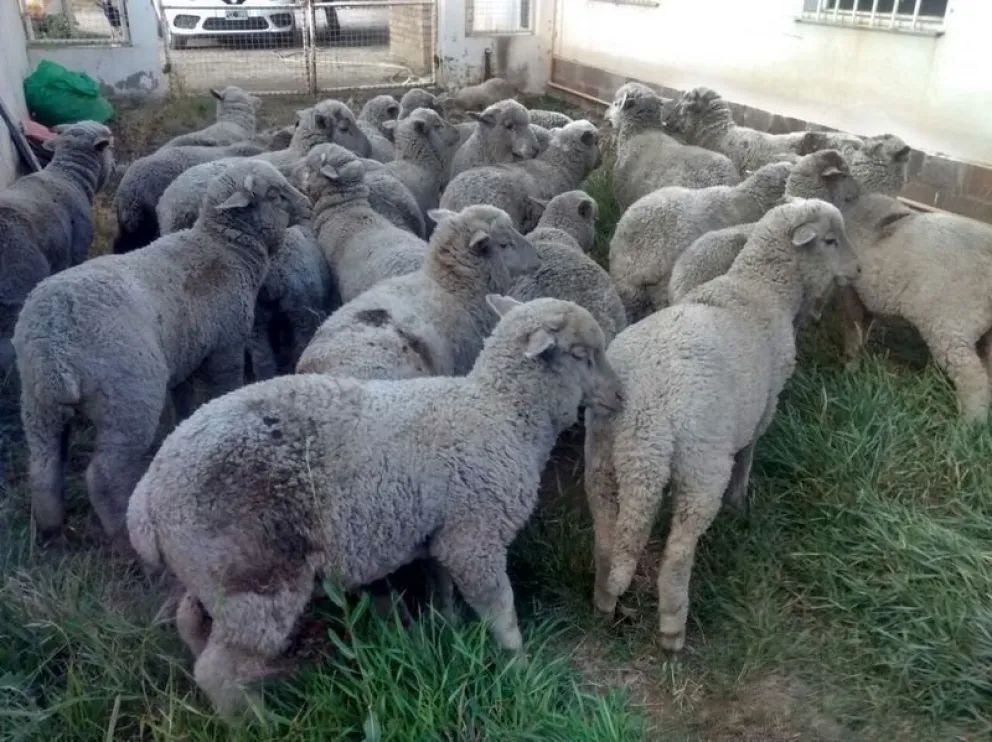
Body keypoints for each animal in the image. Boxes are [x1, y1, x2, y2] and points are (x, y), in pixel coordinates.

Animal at [13, 160, 311, 547]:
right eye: (275, 193)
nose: (308, 205)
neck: (223, 249)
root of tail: (54, 344)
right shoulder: (226, 346)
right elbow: (224, 385)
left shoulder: (185, 353)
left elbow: (183, 396)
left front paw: (186, 423)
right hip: (128, 397)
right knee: (103, 474)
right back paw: (122, 536)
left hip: (39, 406)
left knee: (44, 466)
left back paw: (51, 529)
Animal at [126, 293, 621, 722]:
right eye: (581, 354)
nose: (620, 395)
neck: (502, 411)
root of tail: (146, 497)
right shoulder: (474, 538)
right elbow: (503, 614)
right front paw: (521, 670)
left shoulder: (442, 533)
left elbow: (442, 588)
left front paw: (446, 629)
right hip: (256, 581)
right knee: (219, 671)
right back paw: (261, 723)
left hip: (210, 573)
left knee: (191, 624)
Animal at [247, 225, 338, 380]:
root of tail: (272, 275)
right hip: (302, 309)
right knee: (303, 340)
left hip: (257, 316)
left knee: (261, 354)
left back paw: (266, 376)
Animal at [584, 198, 860, 652]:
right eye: (831, 240)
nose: (858, 270)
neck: (759, 287)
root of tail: (648, 415)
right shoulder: (766, 403)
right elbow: (749, 451)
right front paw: (739, 499)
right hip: (701, 465)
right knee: (678, 552)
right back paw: (673, 628)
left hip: (602, 458)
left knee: (607, 535)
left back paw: (605, 601)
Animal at [838, 193, 992, 422]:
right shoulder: (866, 298)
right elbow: (863, 330)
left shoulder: (852, 293)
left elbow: (853, 333)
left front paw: (850, 369)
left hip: (951, 324)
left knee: (973, 376)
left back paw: (971, 423)